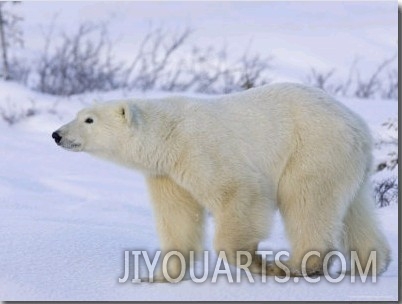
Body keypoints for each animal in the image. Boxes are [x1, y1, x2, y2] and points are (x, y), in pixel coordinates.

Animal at [52, 82, 390, 280]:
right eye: (79, 114)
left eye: (89, 119)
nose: (56, 134)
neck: (167, 135)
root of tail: (357, 125)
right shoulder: (167, 174)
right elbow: (178, 219)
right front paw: (159, 275)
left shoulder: (200, 149)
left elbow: (240, 192)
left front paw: (256, 261)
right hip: (345, 164)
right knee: (354, 210)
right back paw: (370, 264)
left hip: (312, 150)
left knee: (307, 203)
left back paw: (298, 266)